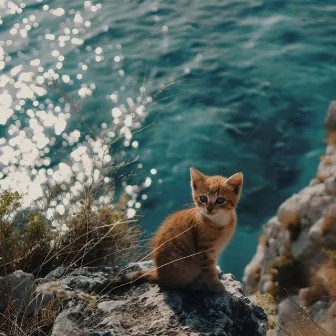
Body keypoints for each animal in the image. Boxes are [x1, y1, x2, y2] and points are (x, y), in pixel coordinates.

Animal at [97, 167, 242, 292]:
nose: (209, 209)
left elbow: (212, 265)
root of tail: (158, 273)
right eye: (203, 198)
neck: (220, 222)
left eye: (220, 200)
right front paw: (214, 285)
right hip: (184, 266)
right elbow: (208, 270)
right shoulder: (204, 251)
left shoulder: (213, 251)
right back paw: (196, 284)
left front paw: (216, 271)